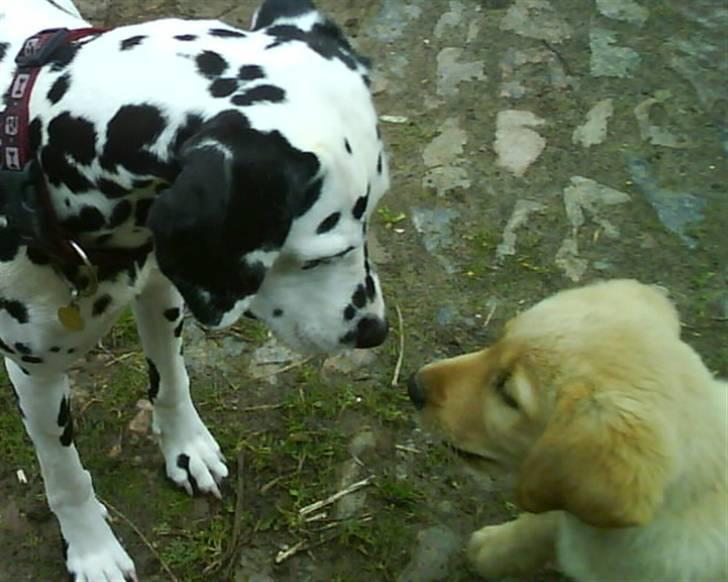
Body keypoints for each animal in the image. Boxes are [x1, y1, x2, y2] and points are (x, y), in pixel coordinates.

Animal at [0, 0, 392, 580]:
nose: (375, 331)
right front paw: (93, 548)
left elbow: (171, 383)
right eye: (322, 254)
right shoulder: (36, 374)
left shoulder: (161, 290)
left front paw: (187, 448)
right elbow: (65, 473)